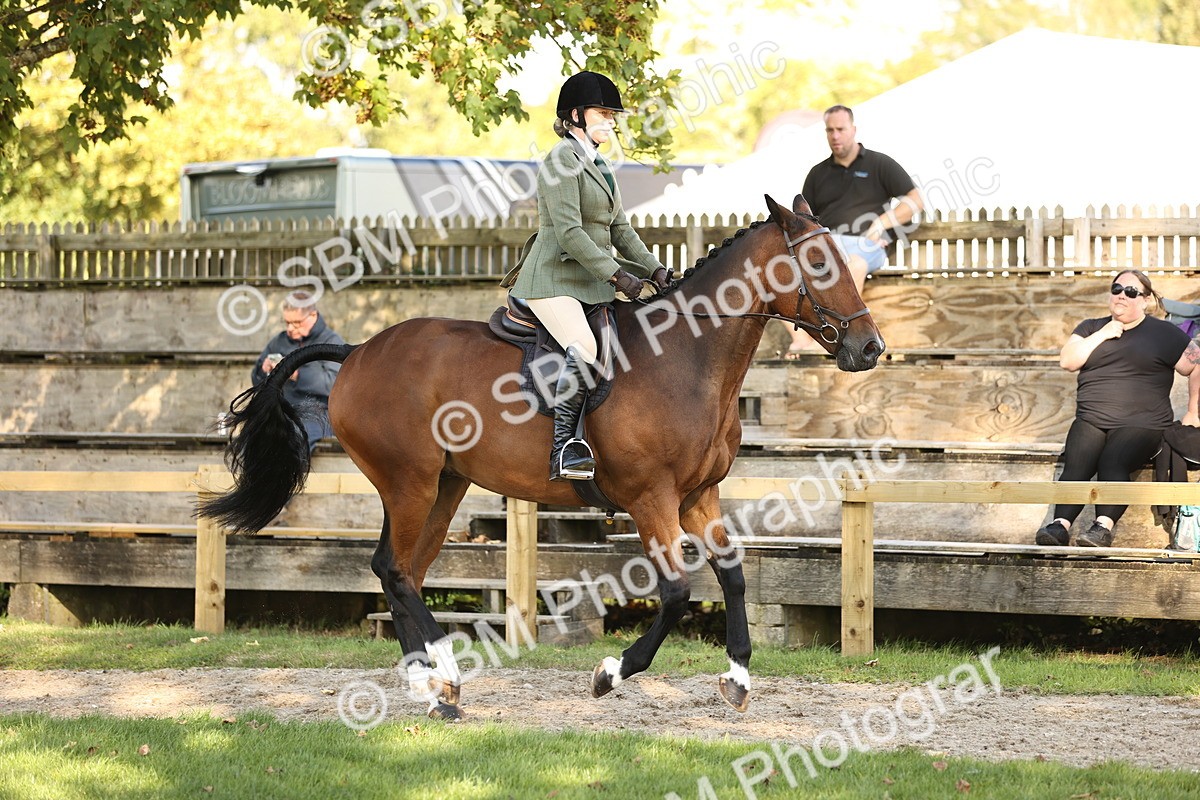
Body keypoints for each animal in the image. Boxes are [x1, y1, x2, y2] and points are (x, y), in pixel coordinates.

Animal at [198, 193, 884, 720]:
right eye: (816, 261)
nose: (869, 347)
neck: (687, 358)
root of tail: (359, 351)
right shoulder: (651, 498)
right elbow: (675, 592)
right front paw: (611, 671)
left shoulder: (697, 496)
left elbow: (734, 575)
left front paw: (737, 679)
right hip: (409, 481)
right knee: (395, 570)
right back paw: (443, 681)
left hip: (442, 486)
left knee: (402, 573)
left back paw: (432, 684)